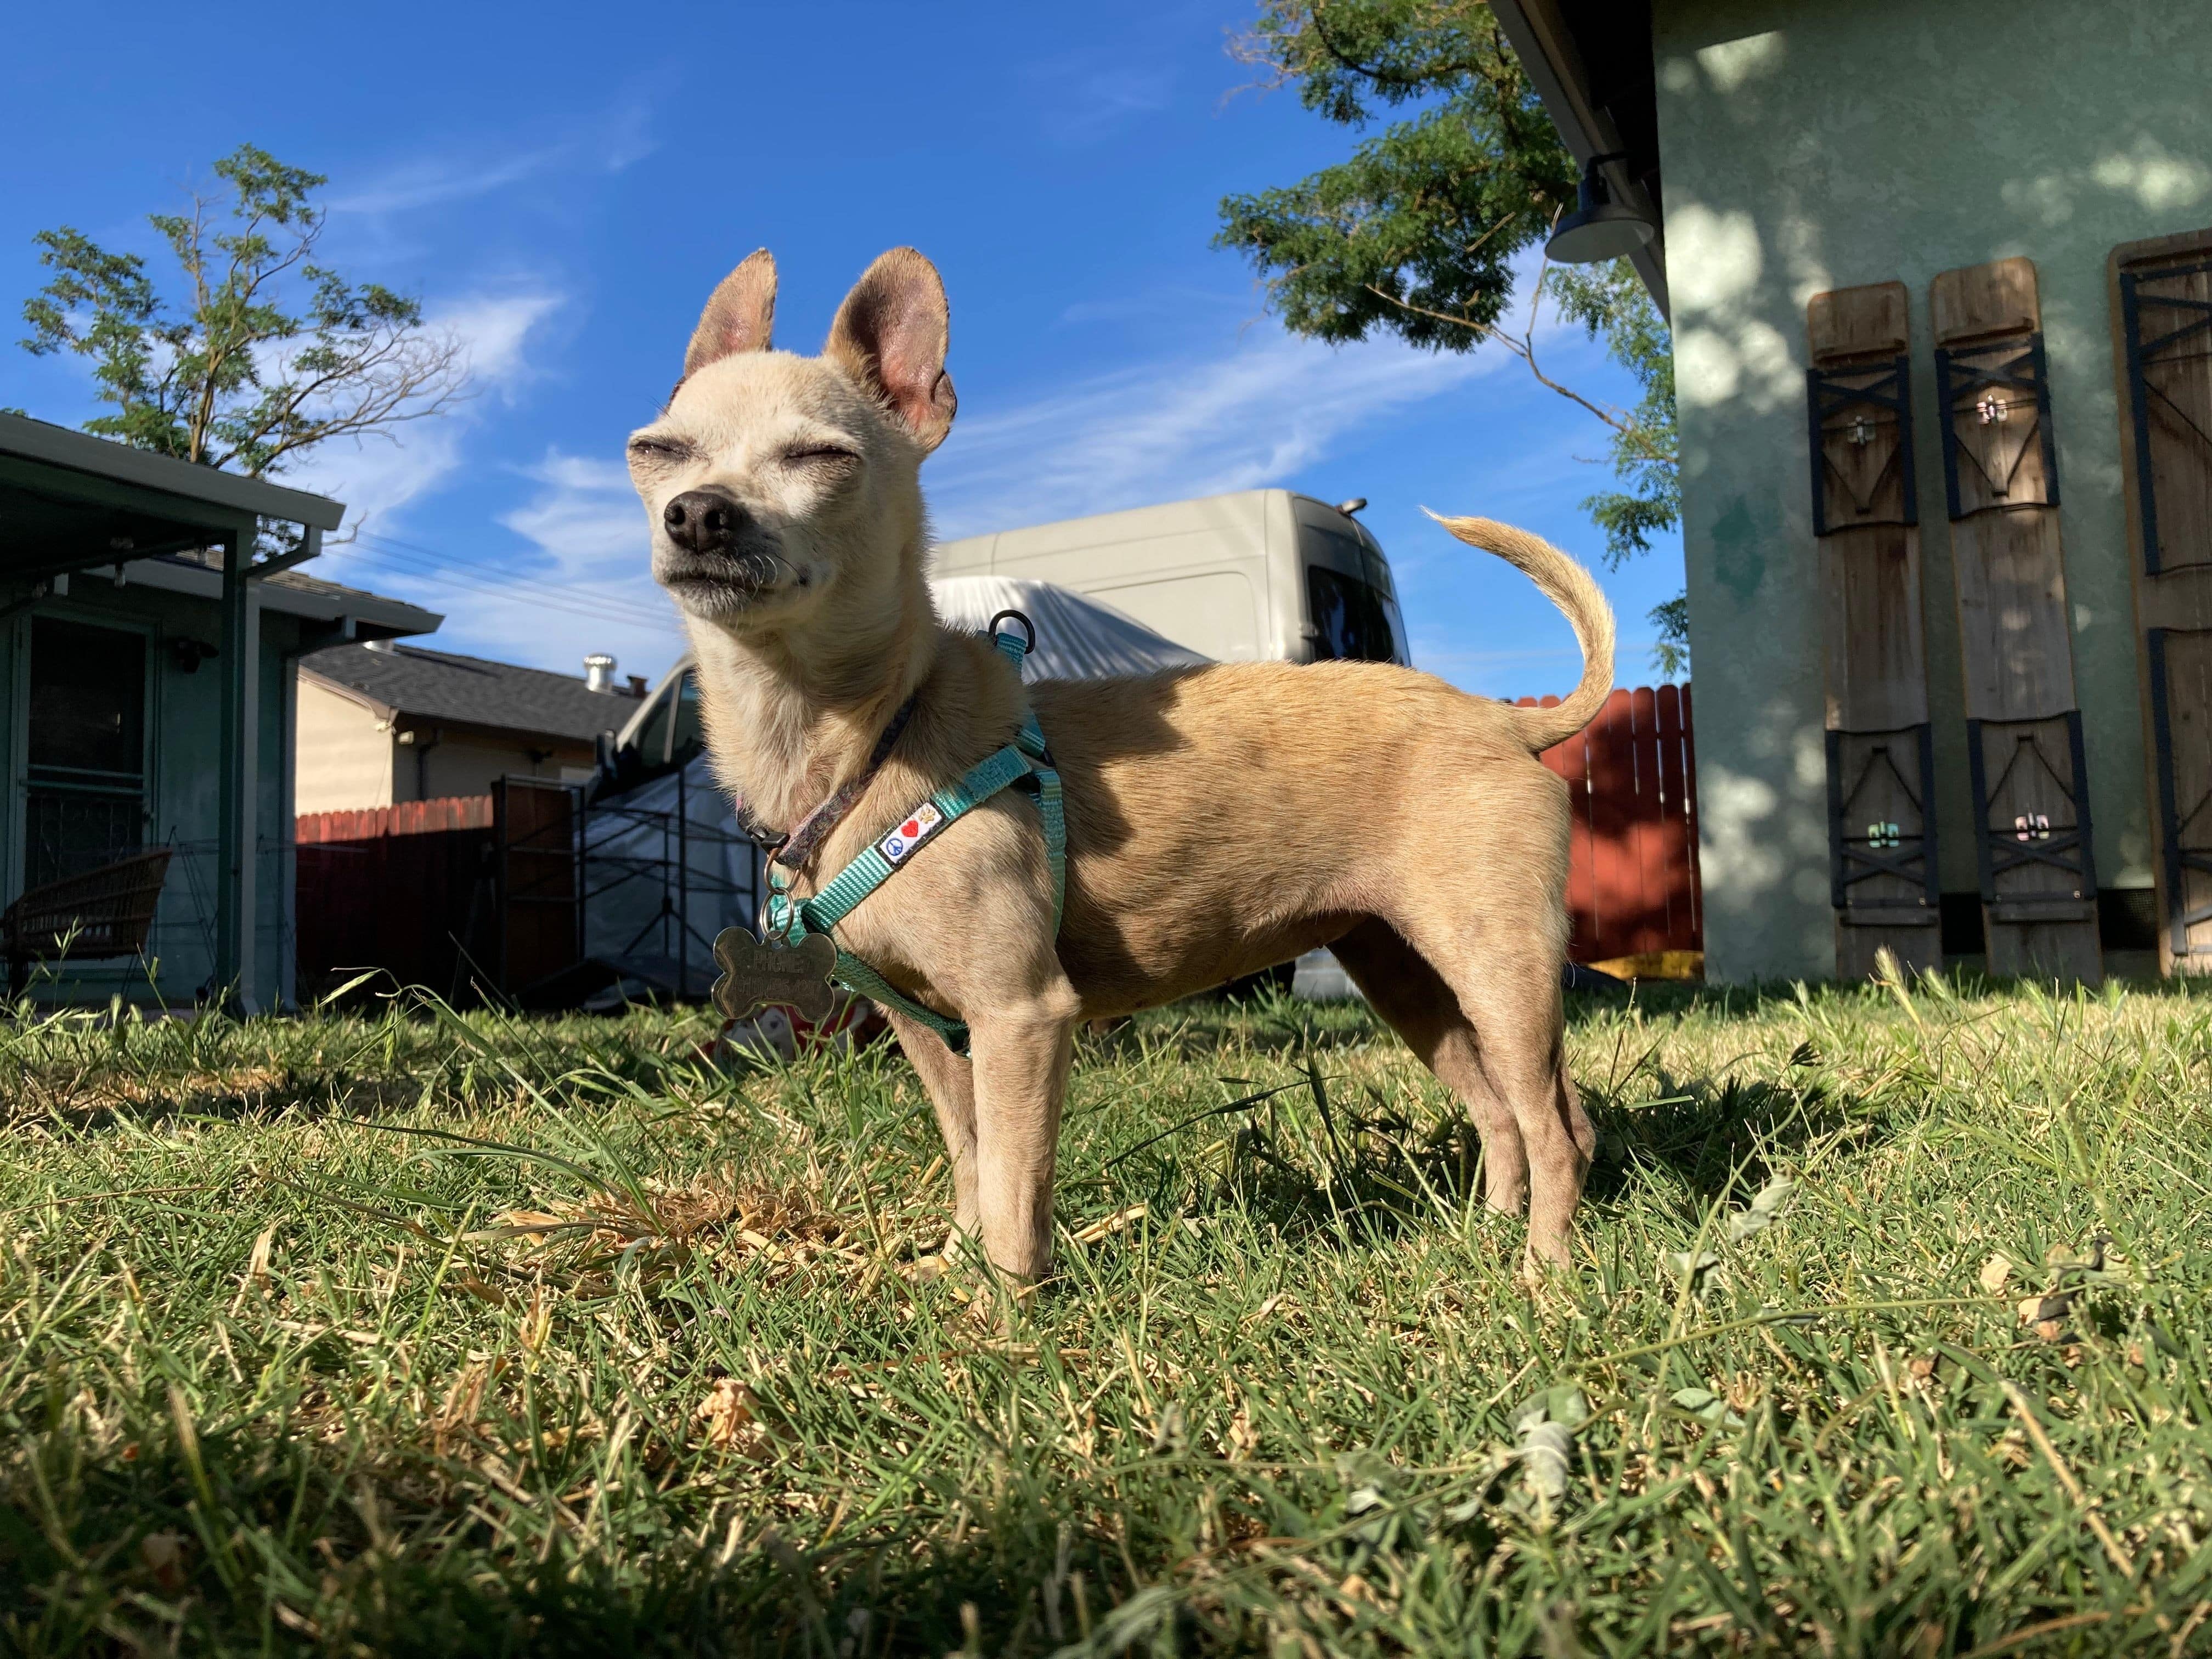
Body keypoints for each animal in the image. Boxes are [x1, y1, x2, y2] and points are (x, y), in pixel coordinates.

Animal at [633, 246, 1619, 1283]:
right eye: (656, 450)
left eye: (823, 458)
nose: (697, 514)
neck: (866, 736)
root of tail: (1507, 723)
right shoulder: (929, 1030)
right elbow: (972, 1158)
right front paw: (954, 1266)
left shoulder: (1020, 1016)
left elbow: (1015, 1184)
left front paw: (1004, 1302)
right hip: (1400, 969)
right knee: (1507, 1111)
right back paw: (1492, 1236)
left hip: (1496, 963)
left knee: (1556, 1125)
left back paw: (1544, 1274)